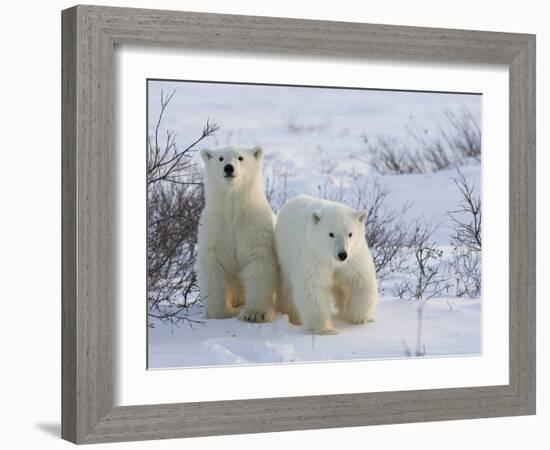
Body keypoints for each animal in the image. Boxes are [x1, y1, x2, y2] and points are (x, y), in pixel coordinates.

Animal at [198, 148, 278, 324]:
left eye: (240, 158)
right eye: (220, 158)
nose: (229, 167)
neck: (233, 206)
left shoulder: (253, 226)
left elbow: (258, 261)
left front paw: (254, 314)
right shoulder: (216, 227)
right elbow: (213, 264)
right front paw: (222, 312)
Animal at [276, 194, 380, 334]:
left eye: (350, 234)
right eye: (331, 234)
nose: (342, 254)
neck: (330, 259)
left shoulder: (353, 257)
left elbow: (360, 280)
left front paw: (358, 317)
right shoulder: (313, 256)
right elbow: (313, 287)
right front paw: (325, 329)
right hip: (285, 257)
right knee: (287, 289)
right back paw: (292, 315)